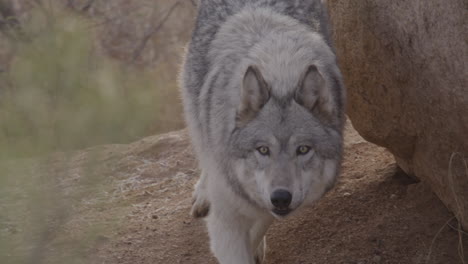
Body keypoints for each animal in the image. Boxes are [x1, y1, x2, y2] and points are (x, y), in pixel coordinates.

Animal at [181, 1, 346, 262]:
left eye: (303, 149)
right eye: (263, 150)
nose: (280, 197)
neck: (281, 74)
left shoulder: (266, 206)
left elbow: (261, 219)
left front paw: (256, 245)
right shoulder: (226, 217)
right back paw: (202, 194)